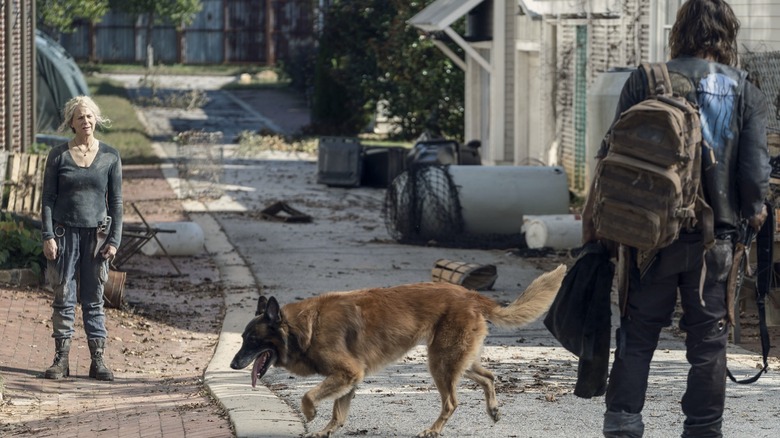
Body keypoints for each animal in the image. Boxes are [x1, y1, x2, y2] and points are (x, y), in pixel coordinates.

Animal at [229, 266, 564, 436]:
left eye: (252, 340)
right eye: (243, 338)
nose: (232, 365)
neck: (304, 327)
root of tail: (470, 294)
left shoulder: (347, 373)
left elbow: (309, 396)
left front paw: (310, 415)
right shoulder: (350, 379)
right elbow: (338, 411)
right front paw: (325, 430)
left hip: (440, 363)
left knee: (452, 401)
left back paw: (433, 430)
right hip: (456, 360)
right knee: (489, 376)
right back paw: (493, 409)